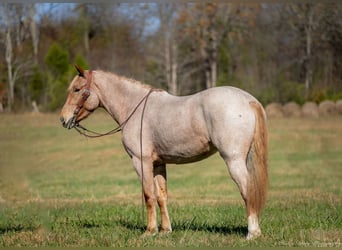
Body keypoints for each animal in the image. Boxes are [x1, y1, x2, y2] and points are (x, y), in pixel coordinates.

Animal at [60, 65, 268, 239]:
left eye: (77, 89)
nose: (63, 119)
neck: (134, 107)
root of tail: (248, 100)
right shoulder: (158, 163)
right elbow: (161, 196)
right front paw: (165, 230)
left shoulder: (141, 161)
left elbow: (148, 195)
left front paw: (149, 231)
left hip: (233, 160)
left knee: (247, 190)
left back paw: (252, 233)